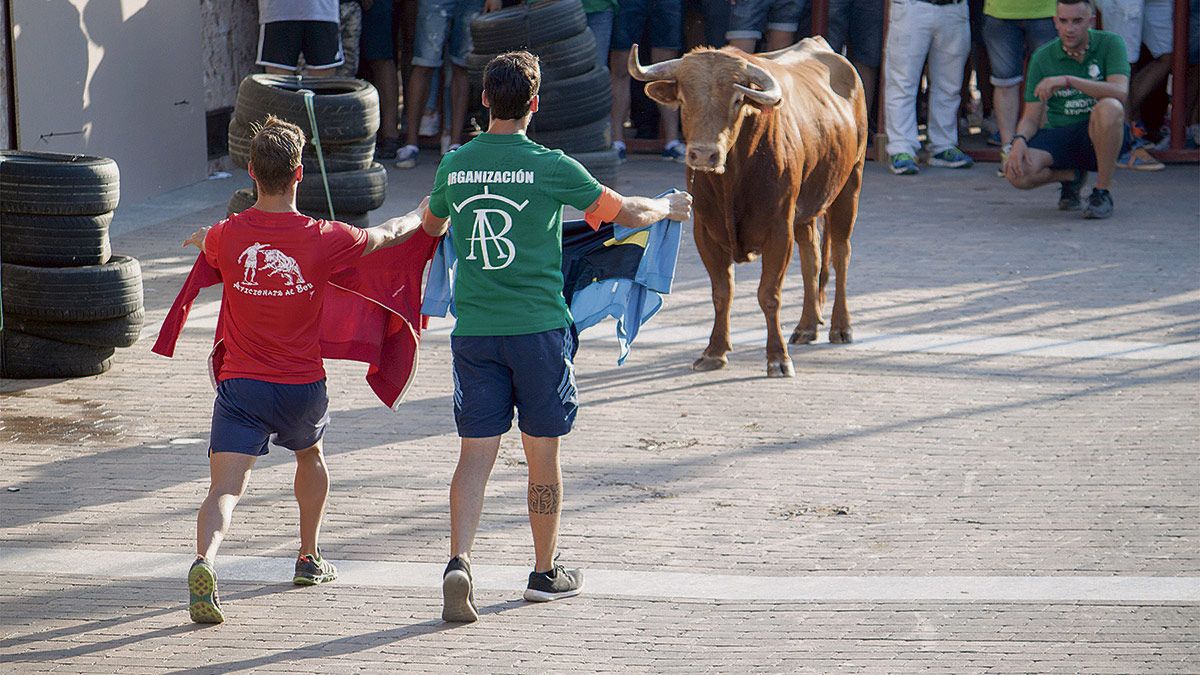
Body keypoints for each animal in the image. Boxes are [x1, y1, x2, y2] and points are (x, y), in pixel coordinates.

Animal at [633, 39, 868, 374]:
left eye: (736, 99)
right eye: (684, 98)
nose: (703, 155)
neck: (732, 180)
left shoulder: (779, 230)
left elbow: (769, 294)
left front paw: (778, 358)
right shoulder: (705, 230)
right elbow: (722, 293)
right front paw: (714, 351)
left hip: (850, 185)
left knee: (840, 254)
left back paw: (841, 326)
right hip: (806, 210)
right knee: (811, 257)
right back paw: (807, 326)